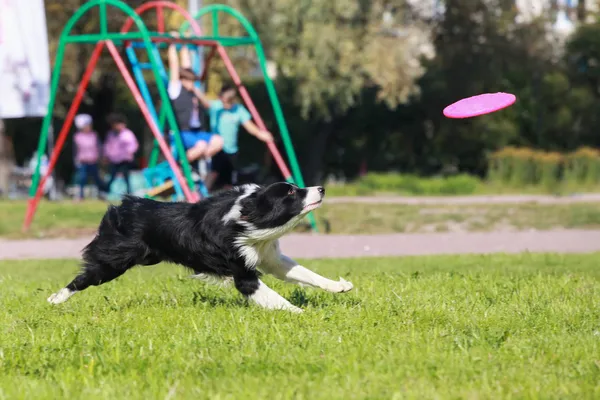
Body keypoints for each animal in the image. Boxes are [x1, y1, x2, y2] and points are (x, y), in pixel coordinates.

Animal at [50, 184, 356, 312]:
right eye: (291, 192)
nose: (321, 188)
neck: (246, 219)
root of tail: (123, 207)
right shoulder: (242, 273)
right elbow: (274, 297)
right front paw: (301, 314)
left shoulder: (269, 256)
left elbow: (305, 274)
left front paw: (340, 286)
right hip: (113, 261)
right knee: (83, 278)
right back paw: (54, 299)